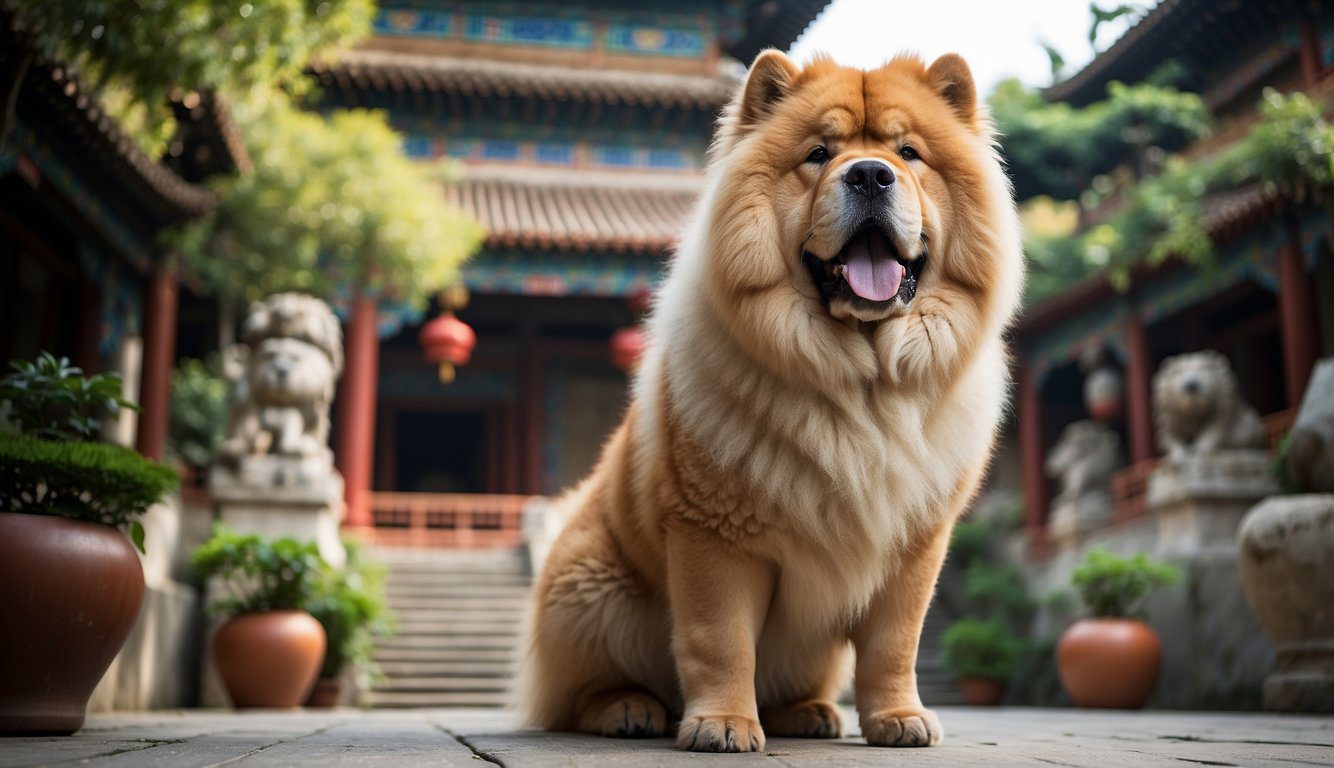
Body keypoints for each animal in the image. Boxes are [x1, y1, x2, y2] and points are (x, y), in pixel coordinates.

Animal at [517, 49, 1019, 752]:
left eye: (909, 153)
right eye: (819, 153)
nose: (870, 174)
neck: (862, 389)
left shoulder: (916, 549)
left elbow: (895, 644)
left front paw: (899, 719)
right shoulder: (714, 536)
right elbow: (720, 638)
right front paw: (723, 725)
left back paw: (808, 713)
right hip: (590, 590)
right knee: (579, 692)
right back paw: (629, 709)